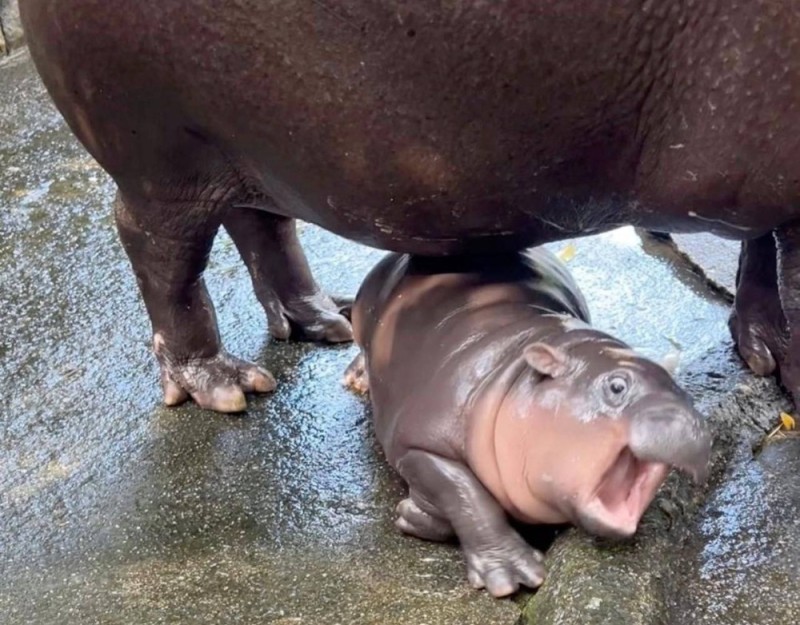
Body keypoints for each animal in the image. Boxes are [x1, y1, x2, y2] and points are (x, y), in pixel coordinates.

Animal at [21, 3, 800, 410]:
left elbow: (760, 248)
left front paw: (767, 352)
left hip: (247, 148)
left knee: (260, 222)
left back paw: (323, 321)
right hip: (160, 156)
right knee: (159, 254)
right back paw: (223, 386)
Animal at [346, 246, 712, 596]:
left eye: (682, 390)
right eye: (617, 386)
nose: (694, 425)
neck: (516, 370)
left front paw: (414, 515)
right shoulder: (419, 444)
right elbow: (467, 494)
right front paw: (513, 575)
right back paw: (357, 379)